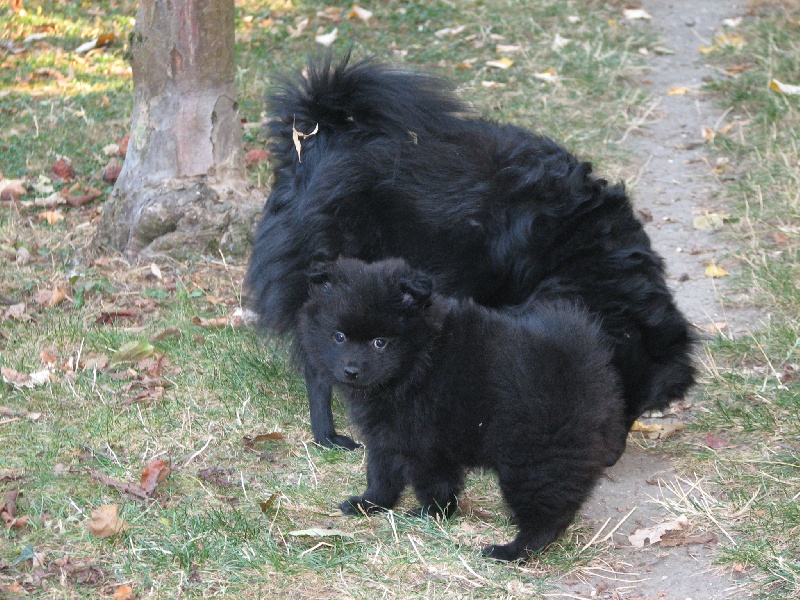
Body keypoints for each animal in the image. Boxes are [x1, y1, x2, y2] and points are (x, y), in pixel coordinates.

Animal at [247, 52, 696, 454]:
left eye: (637, 411)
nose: (611, 457)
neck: (578, 254)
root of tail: (315, 141)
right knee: (321, 360)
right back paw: (330, 435)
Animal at [296, 258, 628, 564]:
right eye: (339, 336)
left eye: (380, 343)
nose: (351, 370)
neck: (419, 363)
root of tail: (582, 364)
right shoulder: (389, 436)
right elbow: (382, 475)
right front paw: (370, 504)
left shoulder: (423, 442)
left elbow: (432, 484)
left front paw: (431, 513)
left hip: (534, 460)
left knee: (546, 515)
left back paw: (510, 551)